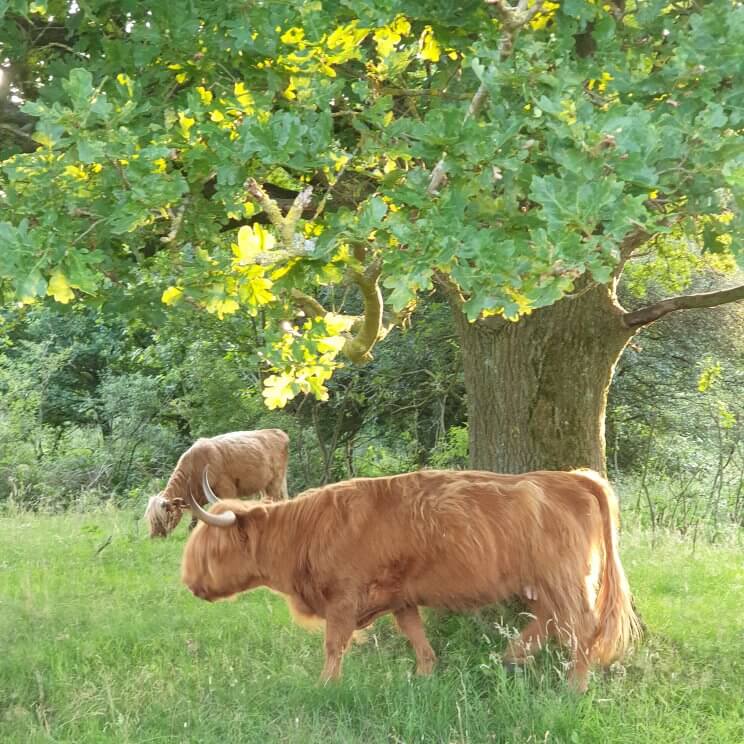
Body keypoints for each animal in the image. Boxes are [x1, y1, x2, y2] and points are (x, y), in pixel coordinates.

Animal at [144, 428, 290, 536]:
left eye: (164, 515)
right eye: (150, 518)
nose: (154, 537)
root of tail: (277, 432)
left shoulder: (226, 490)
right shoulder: (197, 501)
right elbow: (193, 523)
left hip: (275, 481)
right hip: (264, 486)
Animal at [180, 468, 640, 688]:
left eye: (213, 549)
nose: (190, 584)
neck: (308, 530)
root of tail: (571, 478)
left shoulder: (343, 597)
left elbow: (334, 644)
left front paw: (326, 684)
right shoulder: (400, 596)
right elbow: (416, 636)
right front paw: (424, 675)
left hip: (564, 579)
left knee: (580, 628)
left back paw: (574, 686)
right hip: (543, 583)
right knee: (548, 620)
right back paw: (511, 656)